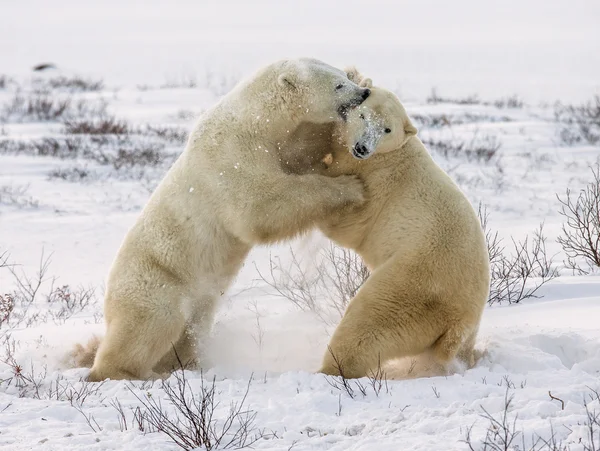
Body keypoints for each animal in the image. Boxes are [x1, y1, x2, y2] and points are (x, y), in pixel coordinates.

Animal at [74, 57, 370, 382]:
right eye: (338, 85)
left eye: (343, 76)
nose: (364, 93)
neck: (254, 118)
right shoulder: (232, 155)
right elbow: (261, 206)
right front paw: (351, 187)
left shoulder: (279, 143)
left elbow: (301, 155)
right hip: (157, 283)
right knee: (148, 326)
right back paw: (129, 372)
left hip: (199, 301)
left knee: (190, 331)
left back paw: (186, 365)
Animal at [292, 72, 490, 380]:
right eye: (363, 115)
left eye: (386, 129)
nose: (362, 147)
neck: (394, 153)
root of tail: (458, 321)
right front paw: (356, 76)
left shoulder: (377, 184)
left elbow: (347, 224)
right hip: (459, 326)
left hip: (410, 287)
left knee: (366, 321)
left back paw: (329, 370)